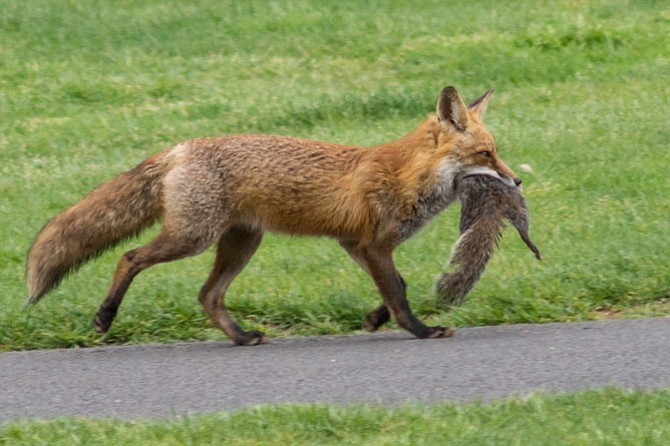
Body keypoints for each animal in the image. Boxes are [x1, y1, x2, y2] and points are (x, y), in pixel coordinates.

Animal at [27, 86, 524, 344]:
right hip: (193, 238)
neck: (408, 175)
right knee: (129, 258)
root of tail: (180, 148)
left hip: (241, 243)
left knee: (207, 296)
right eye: (486, 154)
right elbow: (400, 295)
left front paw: (373, 320)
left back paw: (242, 337)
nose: (517, 181)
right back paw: (104, 317)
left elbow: (396, 286)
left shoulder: (358, 244)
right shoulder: (374, 244)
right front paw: (420, 330)